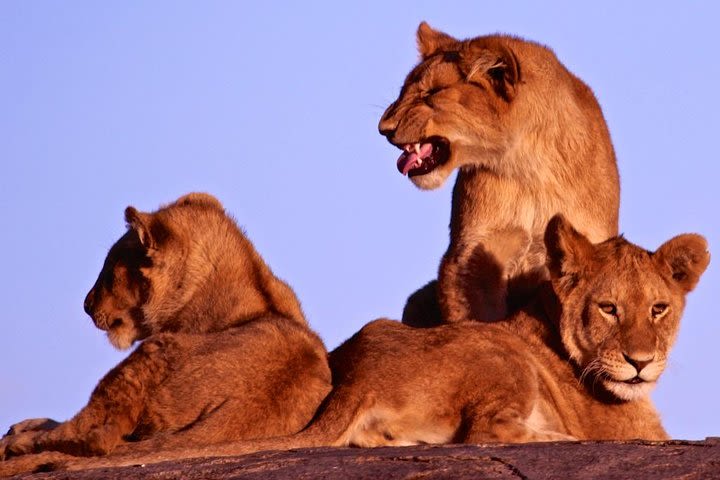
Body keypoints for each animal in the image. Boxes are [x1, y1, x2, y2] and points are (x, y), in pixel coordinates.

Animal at [0, 192, 332, 468]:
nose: (86, 304)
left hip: (151, 352)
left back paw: (16, 443)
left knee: (95, 435)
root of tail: (239, 415)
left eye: (110, 270)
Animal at [18, 217, 708, 472]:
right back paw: (559, 437)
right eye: (609, 308)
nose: (641, 361)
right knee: (485, 431)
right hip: (501, 359)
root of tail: (358, 379)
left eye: (659, 308)